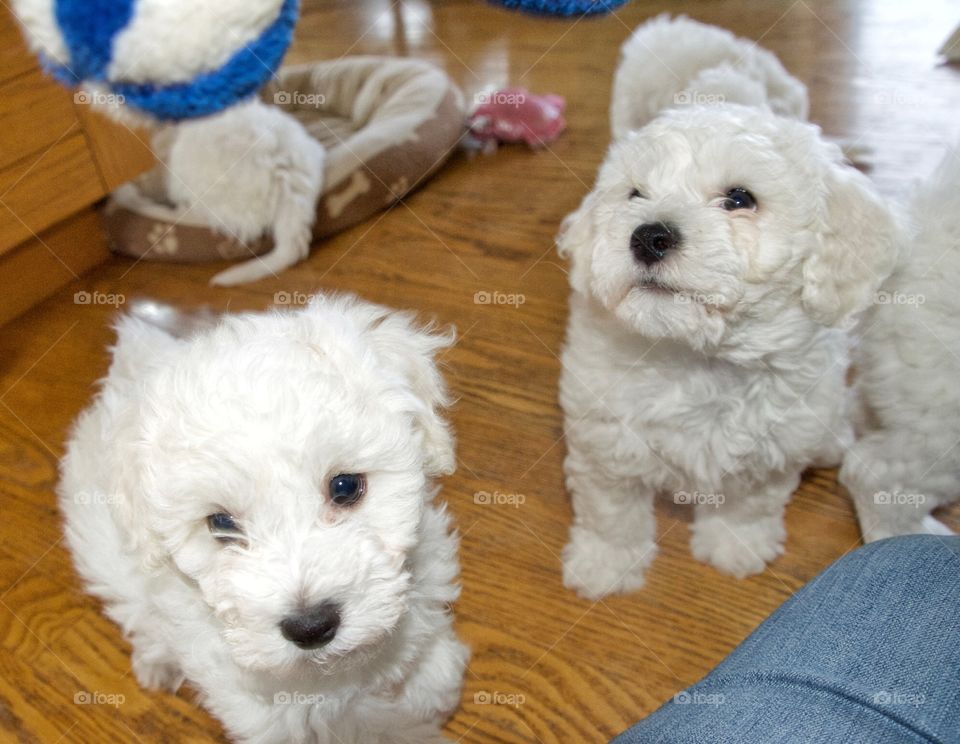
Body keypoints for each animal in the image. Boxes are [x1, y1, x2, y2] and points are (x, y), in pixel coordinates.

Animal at [56, 296, 468, 744]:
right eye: (220, 522)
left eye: (344, 486)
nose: (310, 626)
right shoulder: (275, 711)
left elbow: (434, 671)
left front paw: (427, 688)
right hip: (107, 555)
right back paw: (156, 659)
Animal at [556, 103, 900, 600]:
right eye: (635, 194)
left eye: (740, 199)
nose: (648, 236)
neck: (699, 359)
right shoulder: (604, 437)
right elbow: (610, 508)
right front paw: (605, 564)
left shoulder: (772, 451)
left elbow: (750, 502)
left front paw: (736, 545)